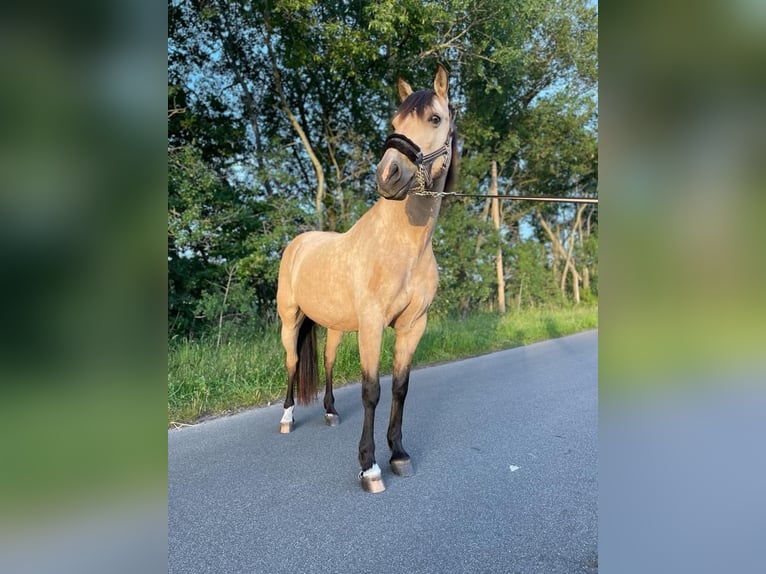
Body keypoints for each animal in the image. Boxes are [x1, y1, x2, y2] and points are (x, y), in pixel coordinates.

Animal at [276, 64, 460, 496]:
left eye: (435, 119)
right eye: (394, 121)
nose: (387, 174)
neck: (403, 247)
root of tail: (298, 244)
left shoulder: (412, 327)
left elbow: (399, 388)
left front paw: (399, 455)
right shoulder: (374, 325)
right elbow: (371, 391)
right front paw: (369, 467)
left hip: (334, 326)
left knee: (326, 361)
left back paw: (328, 412)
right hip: (290, 319)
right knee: (292, 361)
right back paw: (287, 418)